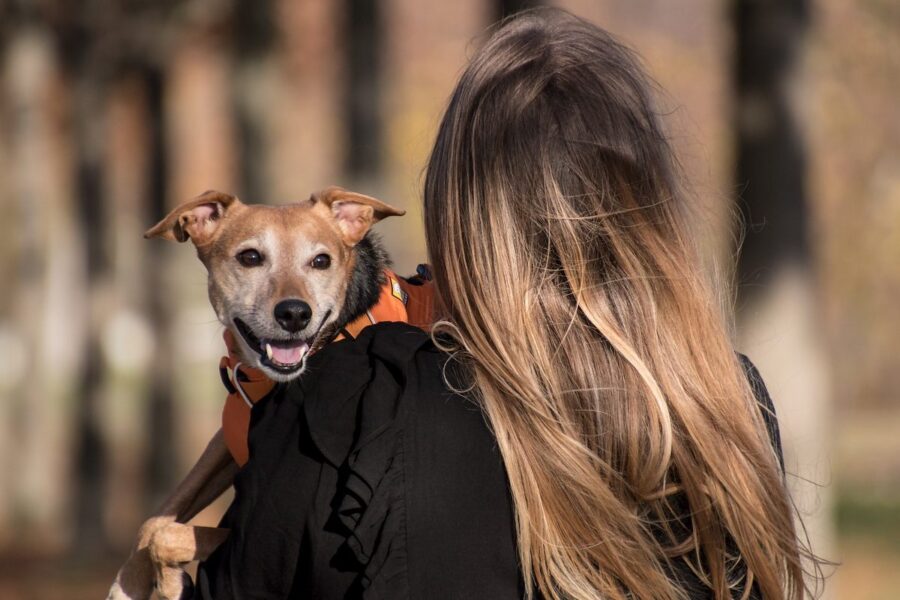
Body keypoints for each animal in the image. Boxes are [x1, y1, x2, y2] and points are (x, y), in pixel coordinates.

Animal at [105, 188, 404, 600]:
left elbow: (168, 536)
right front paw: (128, 582)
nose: (294, 314)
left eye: (321, 261)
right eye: (250, 257)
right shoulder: (227, 442)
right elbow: (157, 518)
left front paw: (169, 583)